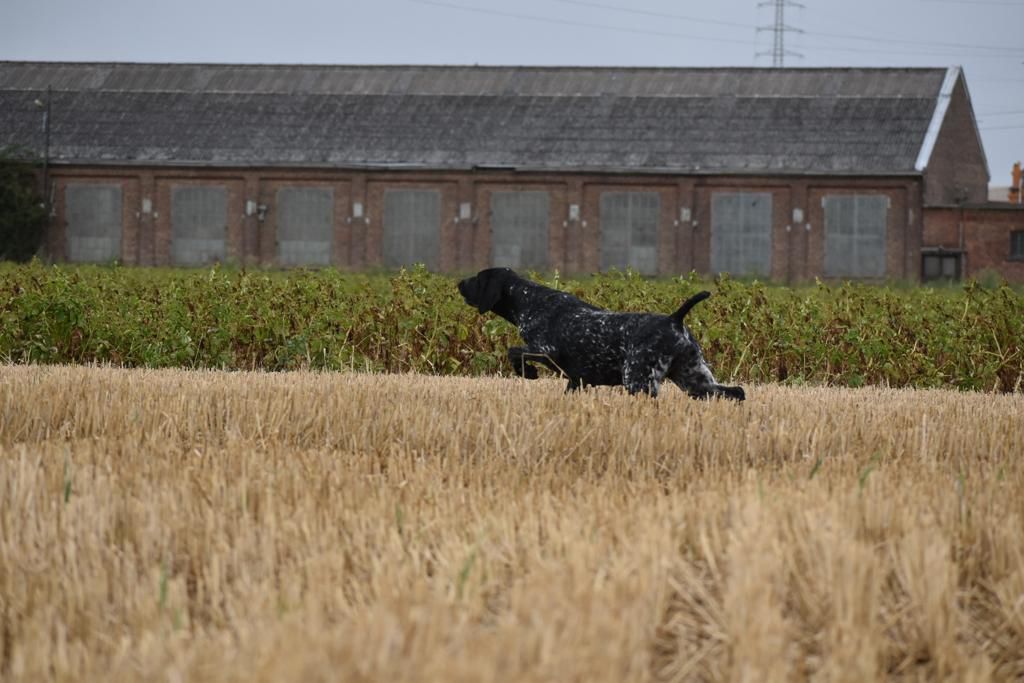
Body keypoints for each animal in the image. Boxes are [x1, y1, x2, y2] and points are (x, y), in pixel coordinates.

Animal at [462, 268, 745, 401]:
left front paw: (527, 373)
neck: (530, 301)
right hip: (696, 381)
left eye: (477, 278)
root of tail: (675, 319)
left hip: (639, 381)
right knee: (737, 392)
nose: (459, 283)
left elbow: (514, 351)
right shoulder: (577, 380)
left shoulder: (546, 350)